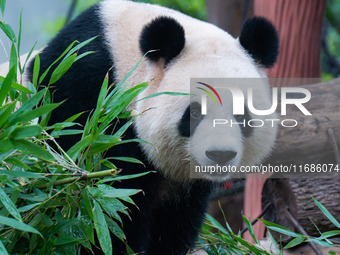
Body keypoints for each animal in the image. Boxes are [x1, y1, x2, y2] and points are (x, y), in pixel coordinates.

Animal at [2, 0, 278, 254]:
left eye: (241, 114)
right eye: (195, 113)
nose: (220, 154)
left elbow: (174, 225)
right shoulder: (84, 102)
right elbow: (108, 214)